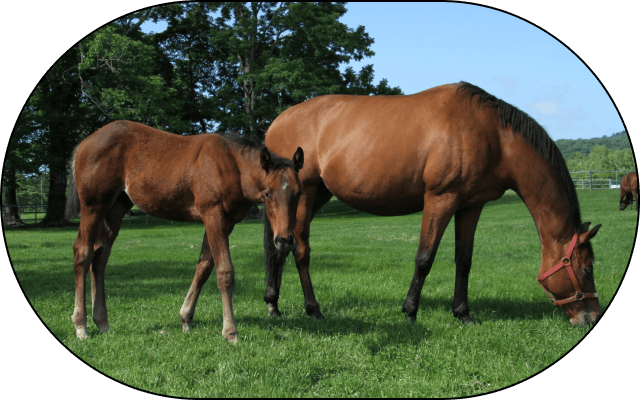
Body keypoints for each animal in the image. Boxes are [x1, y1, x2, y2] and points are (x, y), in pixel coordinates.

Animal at [66, 120, 304, 342]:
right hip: (93, 206)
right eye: (268, 193)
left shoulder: (225, 222)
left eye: (299, 193)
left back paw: (102, 322)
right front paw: (230, 331)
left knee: (100, 257)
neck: (232, 165)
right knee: (83, 252)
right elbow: (224, 272)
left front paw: (186, 319)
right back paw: (80, 326)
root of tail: (86, 142)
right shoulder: (213, 215)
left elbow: (204, 267)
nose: (284, 240)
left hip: (115, 208)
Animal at [262, 82, 600, 328]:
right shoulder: (441, 198)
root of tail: (276, 122)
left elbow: (464, 259)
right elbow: (425, 257)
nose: (592, 316)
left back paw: (273, 303)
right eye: (587, 267)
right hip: (305, 193)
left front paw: (463, 313)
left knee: (279, 248)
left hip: (309, 196)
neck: (493, 135)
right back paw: (313, 309)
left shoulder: (470, 205)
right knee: (299, 250)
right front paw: (410, 311)